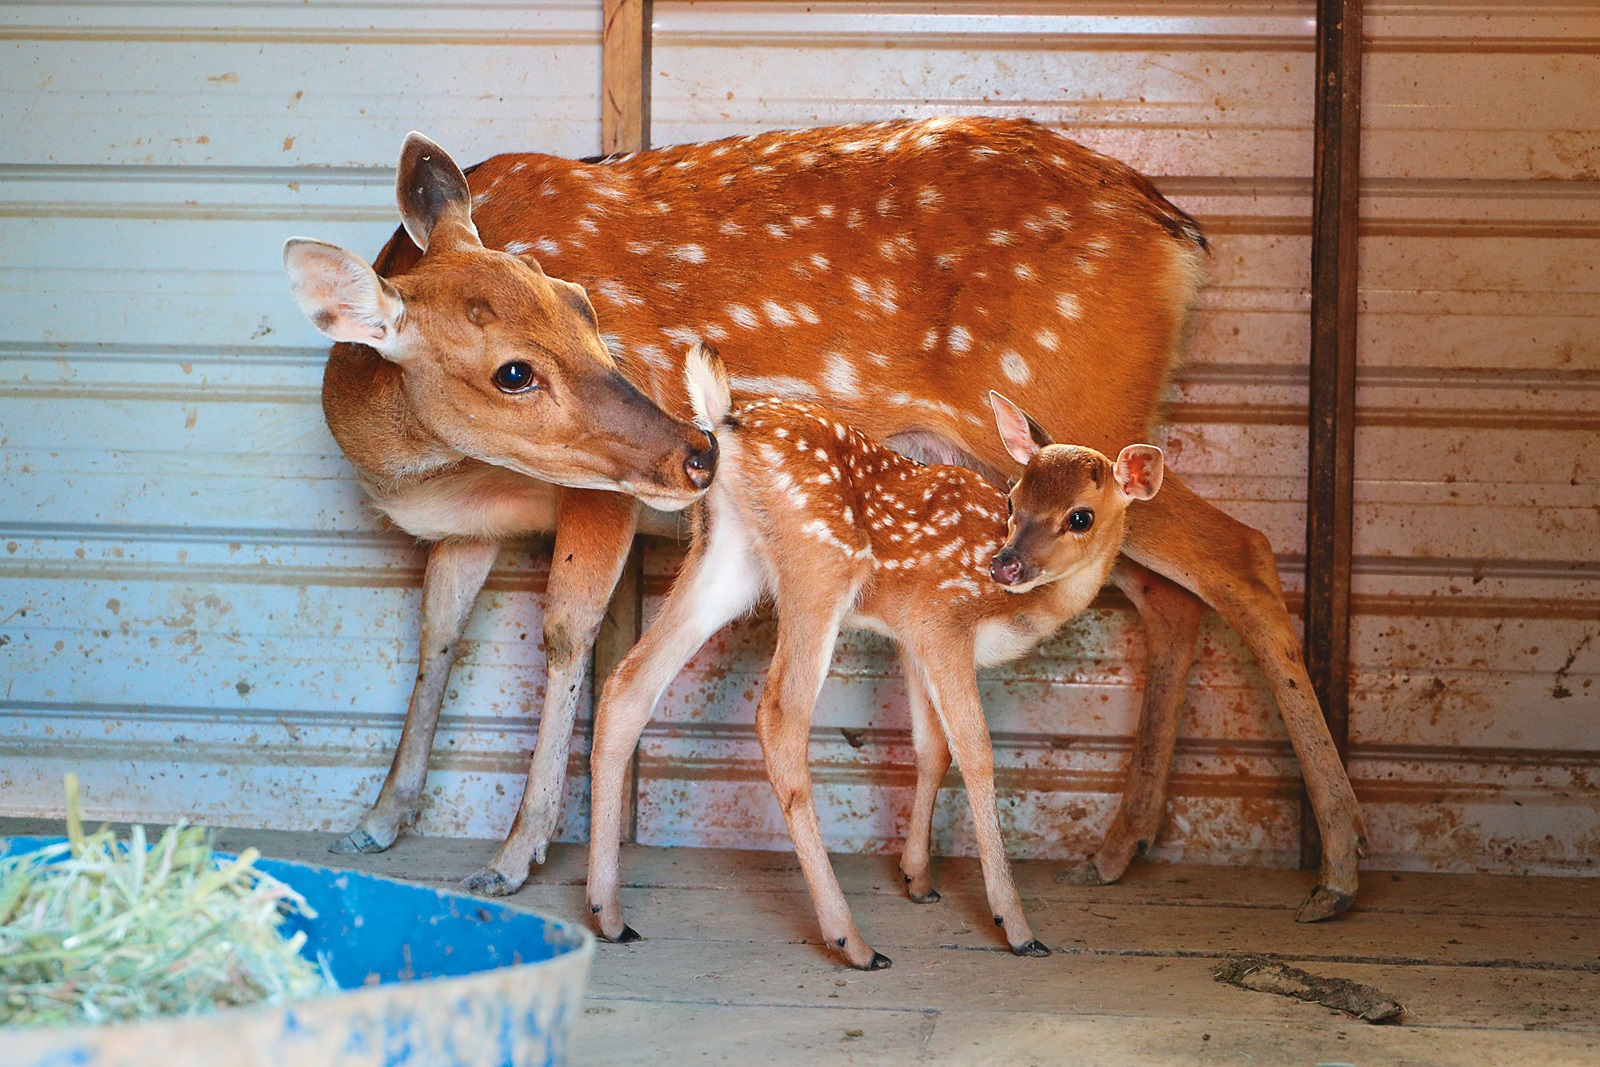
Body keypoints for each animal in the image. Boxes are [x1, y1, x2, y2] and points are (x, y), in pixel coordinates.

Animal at [586, 345, 1166, 968]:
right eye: (1013, 499)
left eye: (1080, 516)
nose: (1004, 565)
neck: (1028, 606)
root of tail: (728, 418)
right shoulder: (944, 620)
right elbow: (977, 753)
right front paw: (1016, 926)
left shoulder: (912, 636)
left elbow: (931, 747)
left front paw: (918, 879)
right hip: (821, 564)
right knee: (779, 718)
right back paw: (854, 942)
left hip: (726, 560)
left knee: (627, 683)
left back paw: (609, 917)